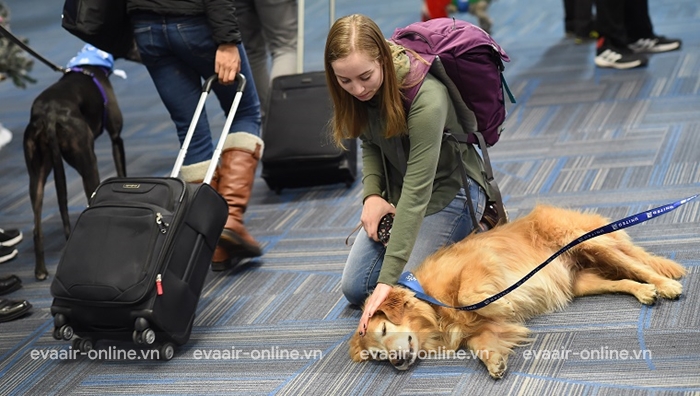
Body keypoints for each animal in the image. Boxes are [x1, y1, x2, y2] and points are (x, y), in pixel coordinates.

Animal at [23, 45, 126, 282]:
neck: (90, 63)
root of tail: (49, 115)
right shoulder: (116, 138)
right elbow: (122, 172)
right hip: (89, 164)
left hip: (37, 173)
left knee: (36, 227)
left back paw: (40, 271)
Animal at [348, 204, 688, 378]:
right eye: (378, 356)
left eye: (382, 329)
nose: (396, 363)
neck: (431, 307)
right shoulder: (484, 329)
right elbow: (481, 343)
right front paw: (493, 362)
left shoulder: (479, 263)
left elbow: (470, 294)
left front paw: (498, 303)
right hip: (583, 282)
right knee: (624, 279)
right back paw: (645, 292)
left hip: (587, 241)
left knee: (638, 265)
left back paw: (666, 284)